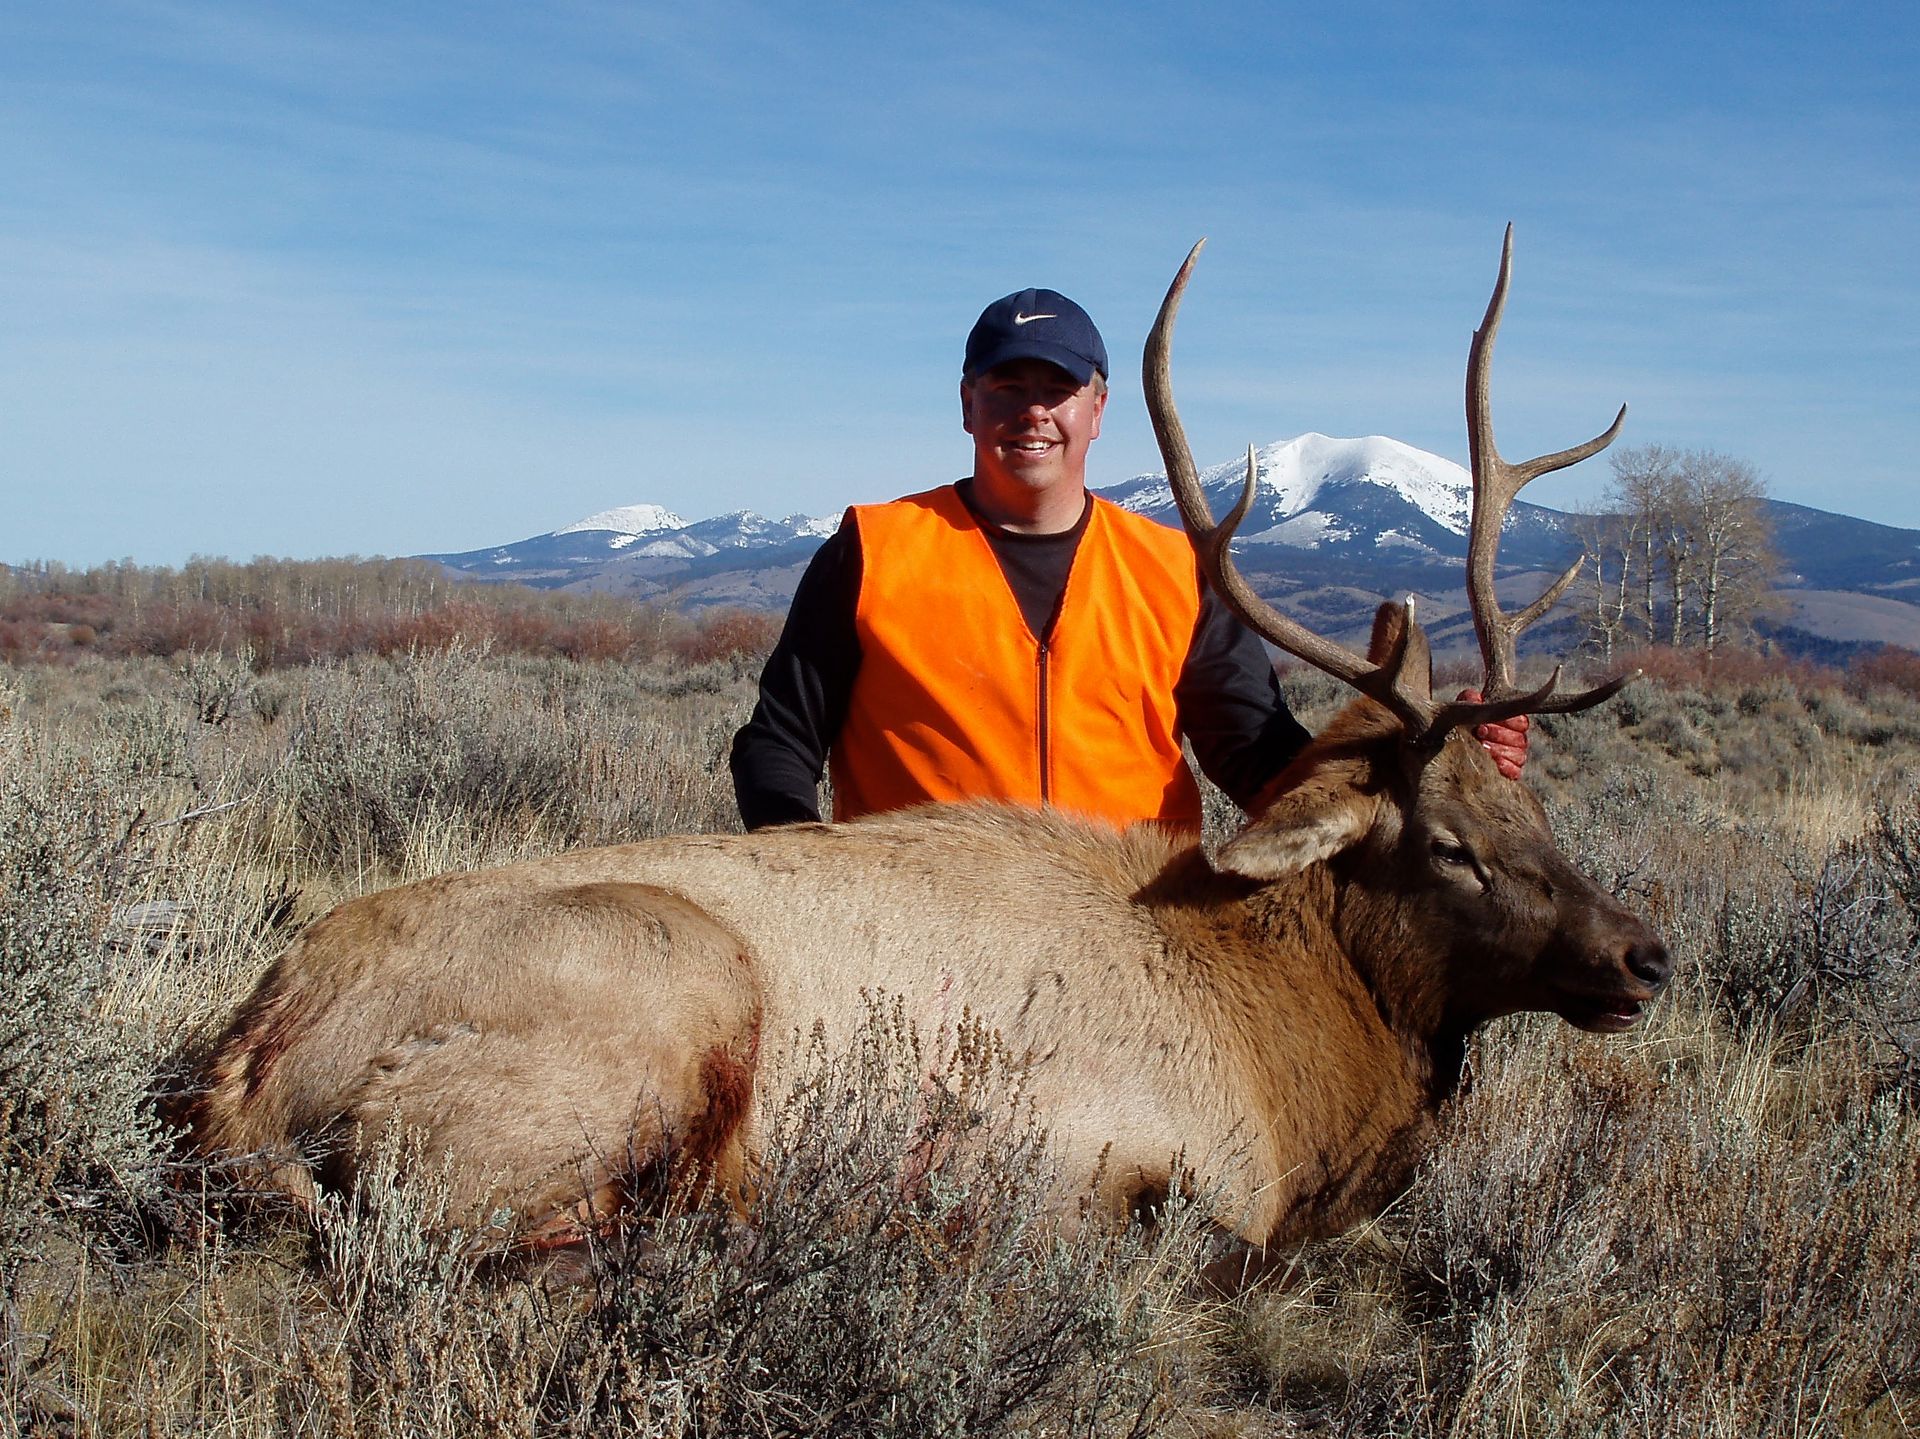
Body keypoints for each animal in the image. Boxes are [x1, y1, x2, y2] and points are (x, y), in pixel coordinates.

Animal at [182, 229, 1669, 1272]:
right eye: (1455, 849)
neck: (1291, 1049)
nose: (1643, 952)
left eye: (1540, 815)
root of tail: (244, 1065)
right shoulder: (1086, 1157)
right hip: (660, 989)